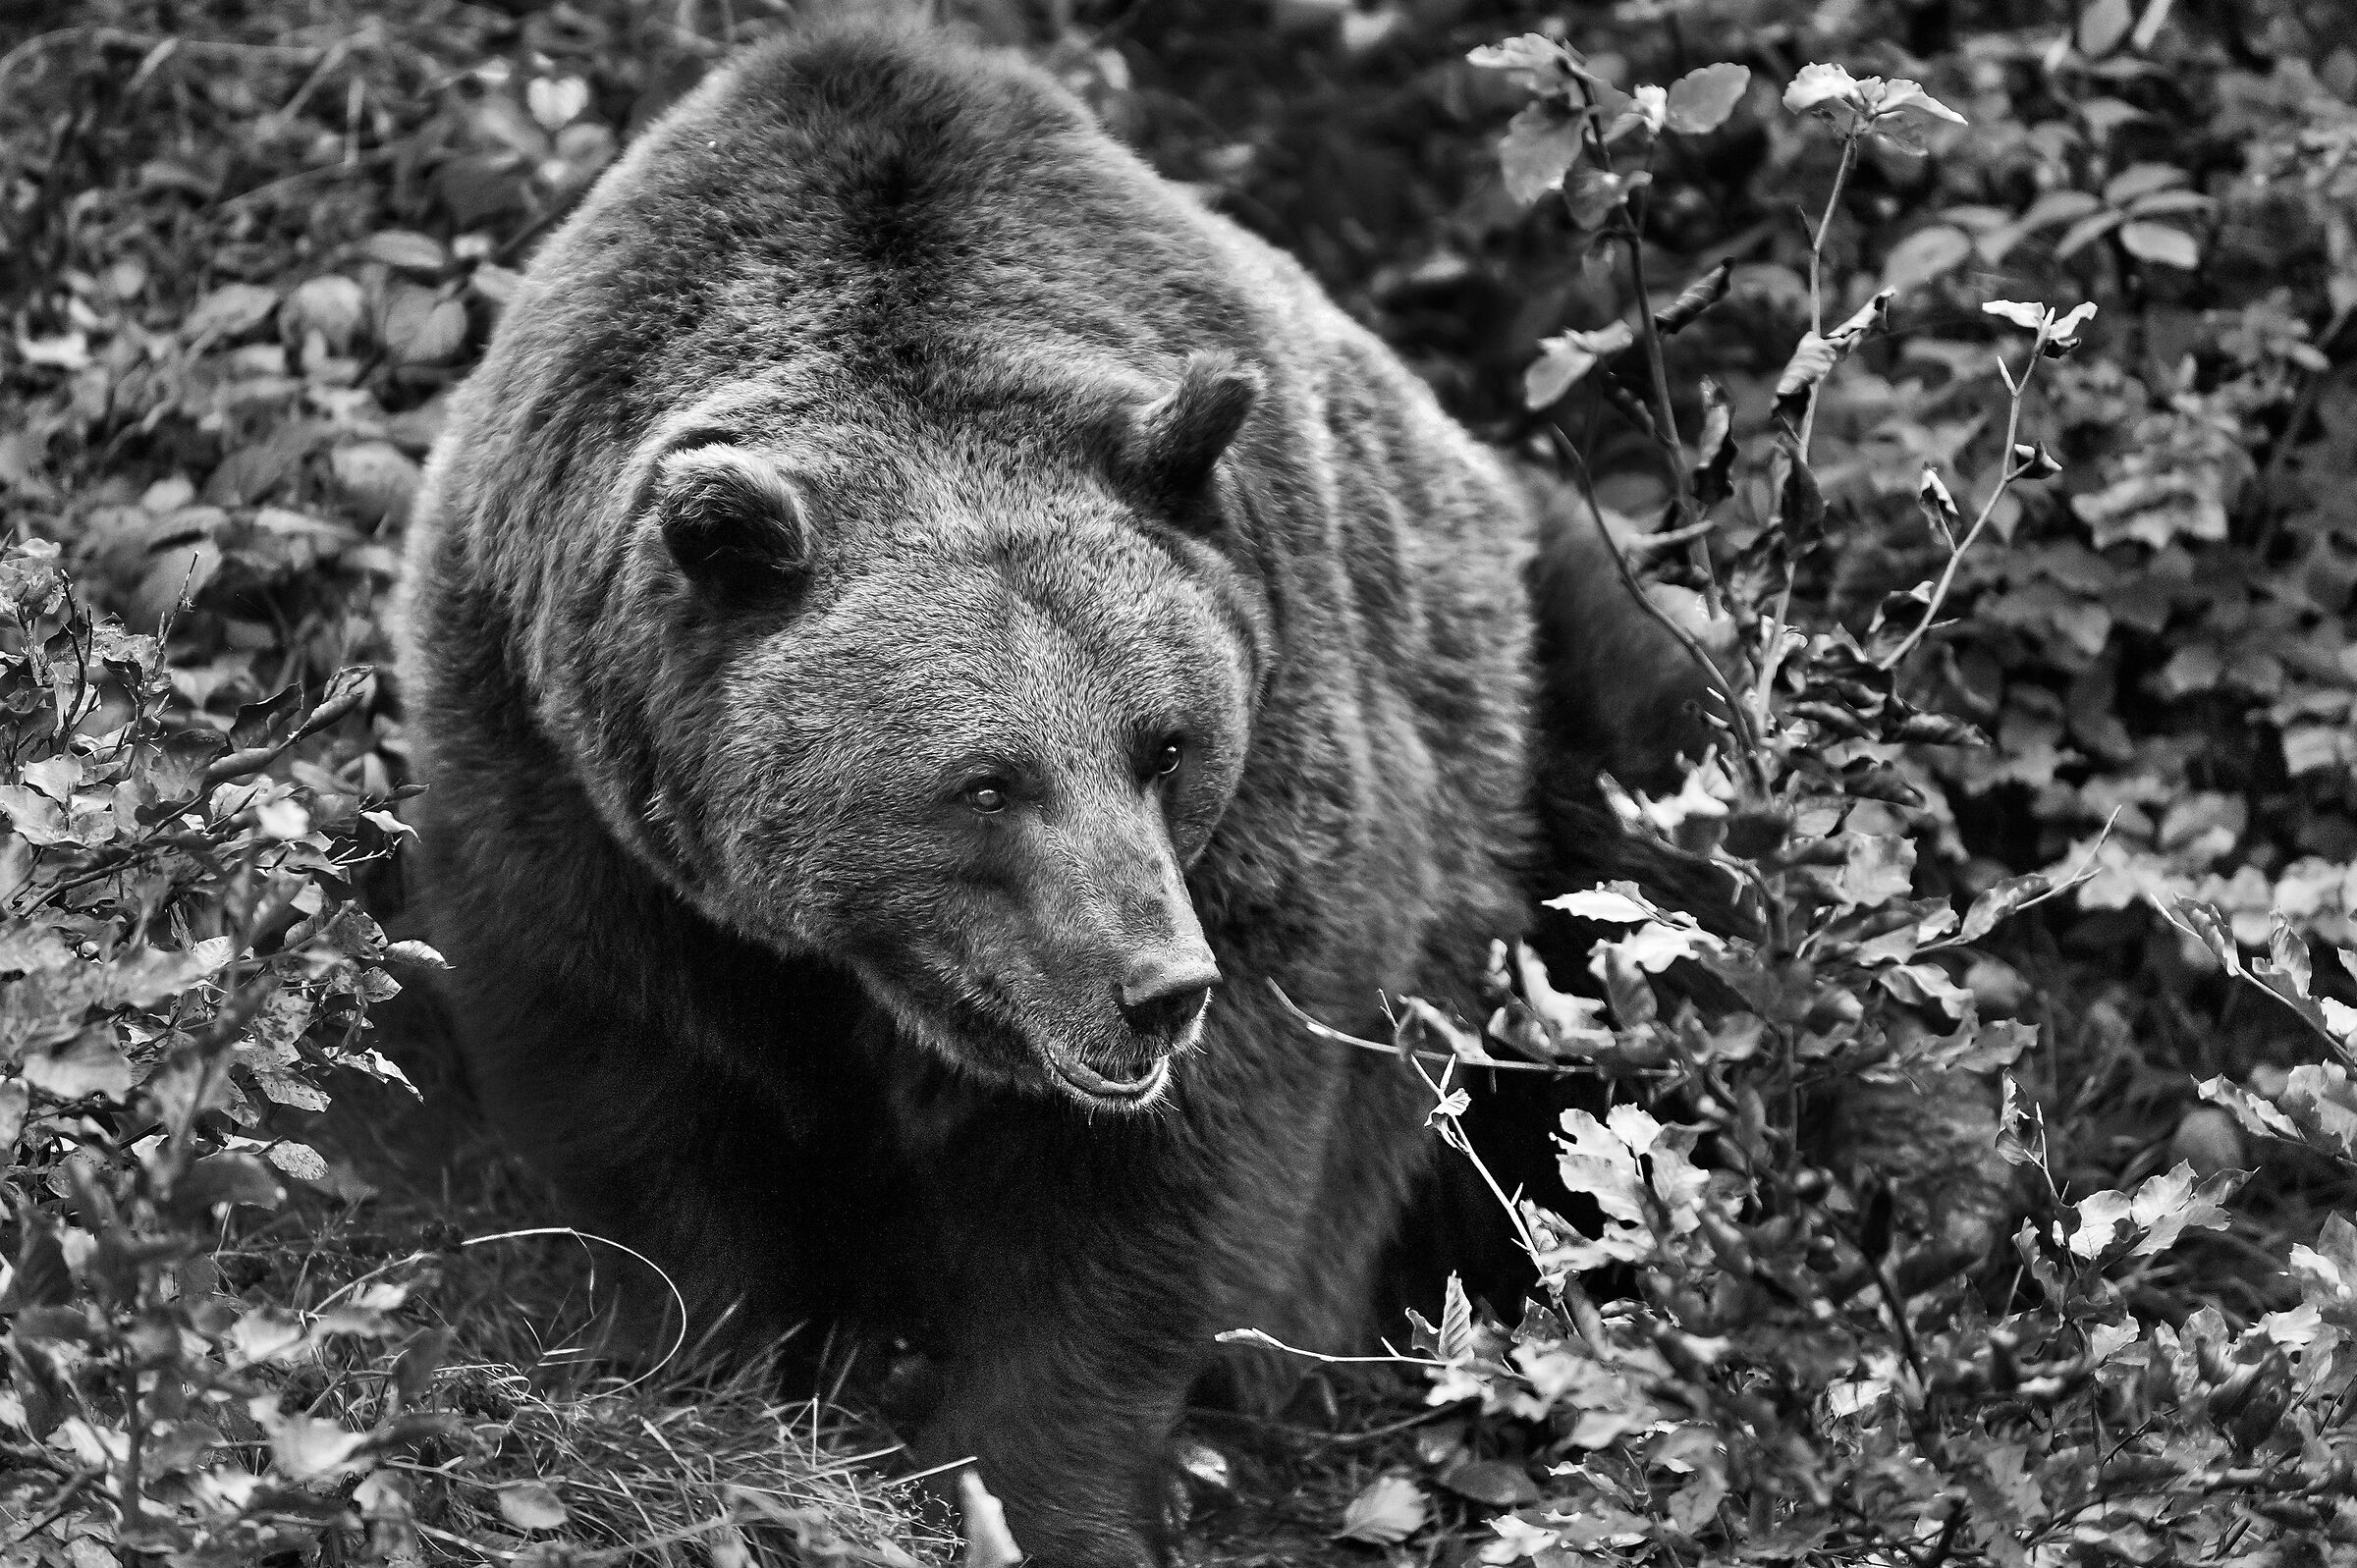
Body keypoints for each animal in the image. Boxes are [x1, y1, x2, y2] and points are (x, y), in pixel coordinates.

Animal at [394, 18, 1713, 1566]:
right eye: (985, 782)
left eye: (1167, 745)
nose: (1155, 989)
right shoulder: (565, 779)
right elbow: (645, 1104)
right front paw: (700, 1394)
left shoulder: (1279, 769)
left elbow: (1145, 1198)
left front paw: (1025, 1489)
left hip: (1558, 708)